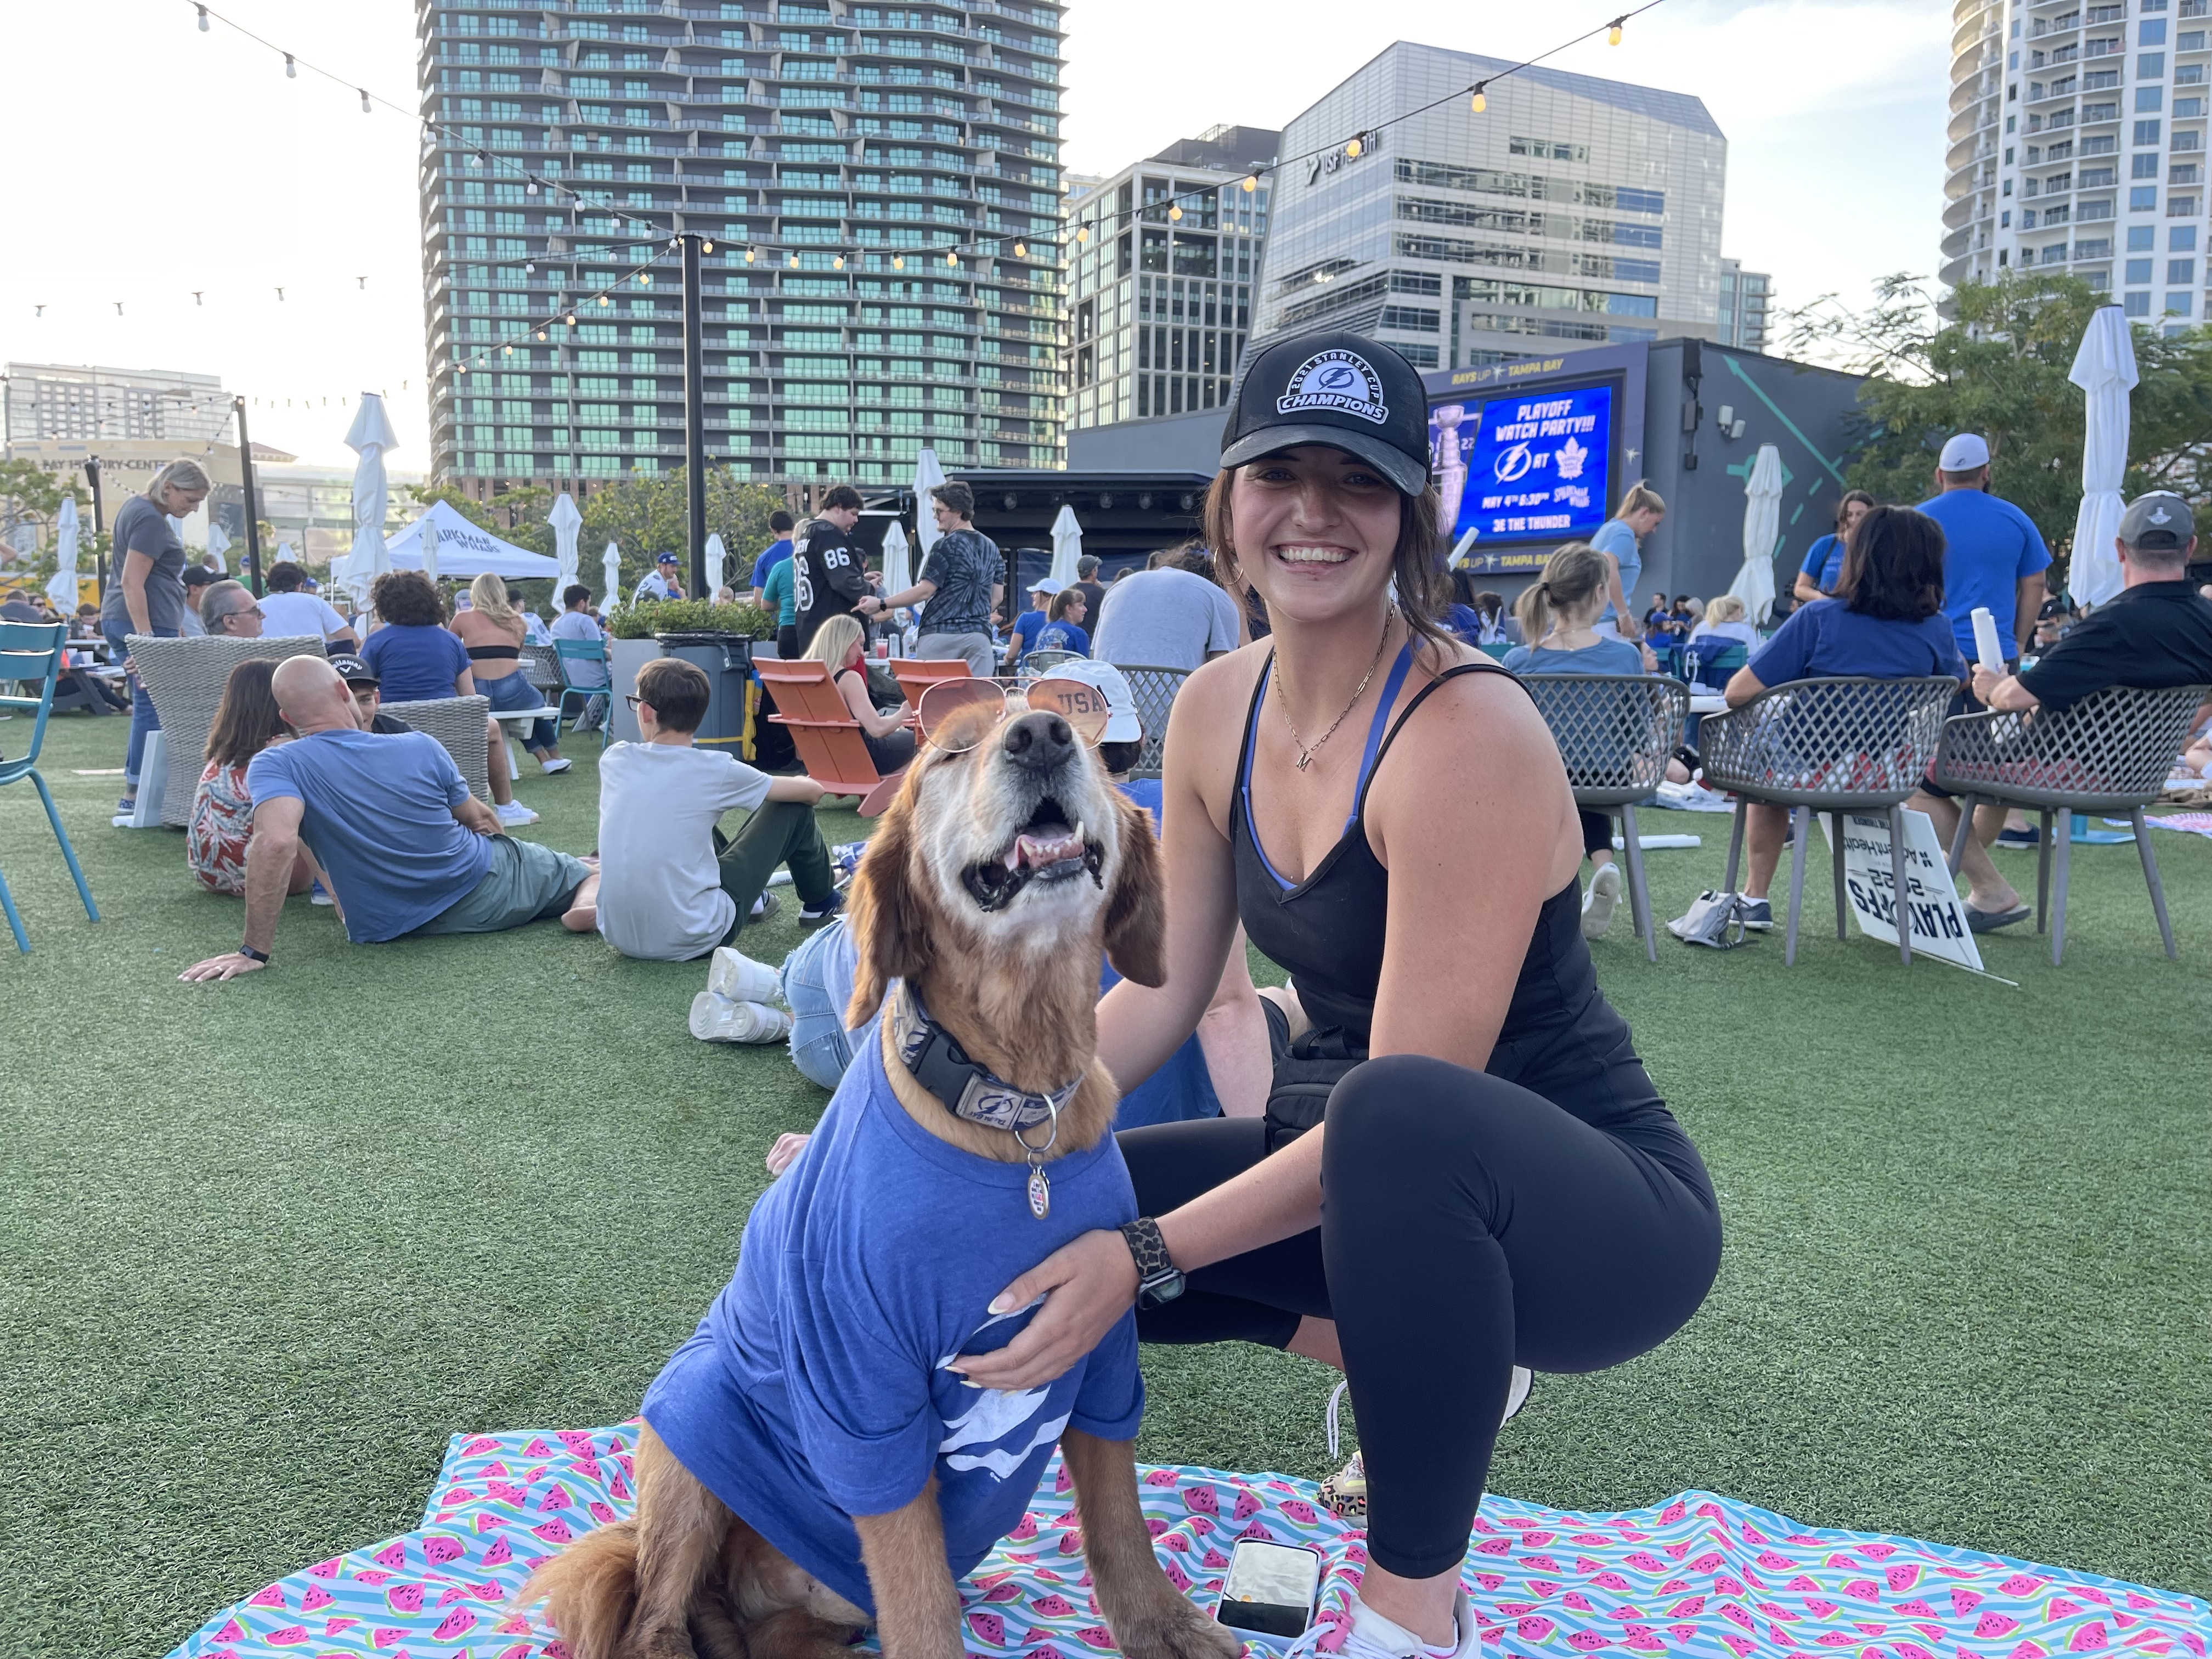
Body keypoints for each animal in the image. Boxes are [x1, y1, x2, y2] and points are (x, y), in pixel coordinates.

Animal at [524, 695, 1238, 1659]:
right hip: (688, 1418)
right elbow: (917, 1589)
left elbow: (1120, 1517)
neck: (1015, 1112)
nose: (1041, 739)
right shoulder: (863, 1386)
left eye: (1083, 739)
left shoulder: (1100, 1334)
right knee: (655, 1615)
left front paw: (1163, 1626)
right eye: (951, 753)